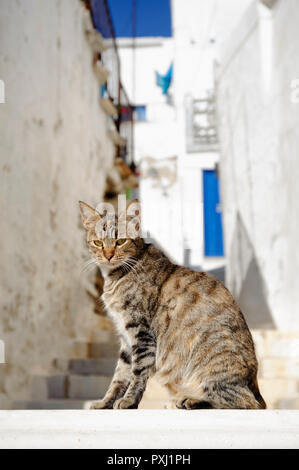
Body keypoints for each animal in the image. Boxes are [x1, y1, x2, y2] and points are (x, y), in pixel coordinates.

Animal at [79, 200, 268, 410]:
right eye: (98, 243)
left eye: (120, 241)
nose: (108, 255)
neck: (115, 276)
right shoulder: (126, 337)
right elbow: (119, 377)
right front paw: (106, 402)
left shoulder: (141, 332)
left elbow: (137, 373)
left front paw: (129, 400)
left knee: (244, 402)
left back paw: (190, 399)